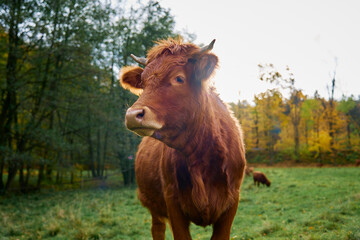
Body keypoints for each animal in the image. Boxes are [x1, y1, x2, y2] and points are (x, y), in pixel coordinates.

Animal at [119, 38, 246, 239]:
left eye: (179, 78)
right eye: (143, 83)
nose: (132, 115)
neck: (202, 158)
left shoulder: (231, 203)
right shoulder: (172, 203)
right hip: (152, 204)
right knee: (157, 229)